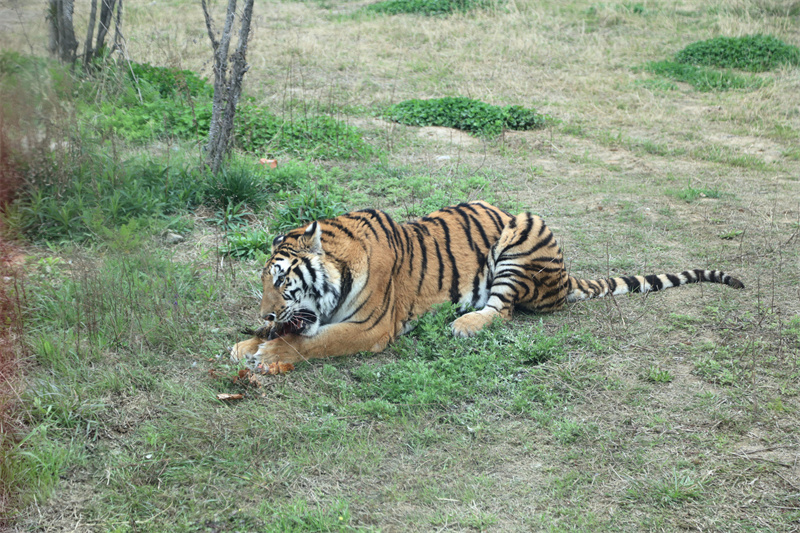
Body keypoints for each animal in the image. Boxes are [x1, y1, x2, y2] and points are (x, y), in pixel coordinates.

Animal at [230, 200, 744, 366]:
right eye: (263, 282)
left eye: (283, 280)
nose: (265, 310)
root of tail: (565, 275)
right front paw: (247, 342)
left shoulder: (370, 328)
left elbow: (317, 341)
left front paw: (268, 354)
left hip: (524, 234)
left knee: (503, 310)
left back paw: (464, 325)